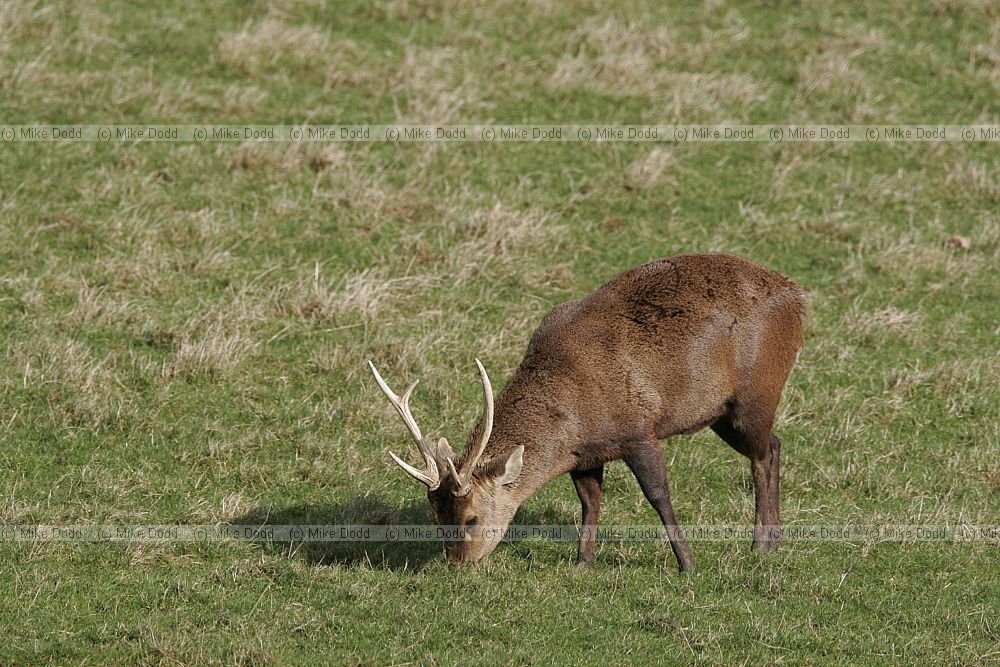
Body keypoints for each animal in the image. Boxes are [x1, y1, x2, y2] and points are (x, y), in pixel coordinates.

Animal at [368, 253, 805, 571]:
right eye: (436, 516)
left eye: (471, 518)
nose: (457, 563)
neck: (574, 418)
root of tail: (798, 298)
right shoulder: (586, 454)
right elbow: (590, 501)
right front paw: (583, 561)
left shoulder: (638, 429)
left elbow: (658, 496)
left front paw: (687, 562)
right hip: (721, 414)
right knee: (775, 444)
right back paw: (774, 541)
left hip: (756, 393)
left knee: (764, 454)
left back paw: (761, 546)